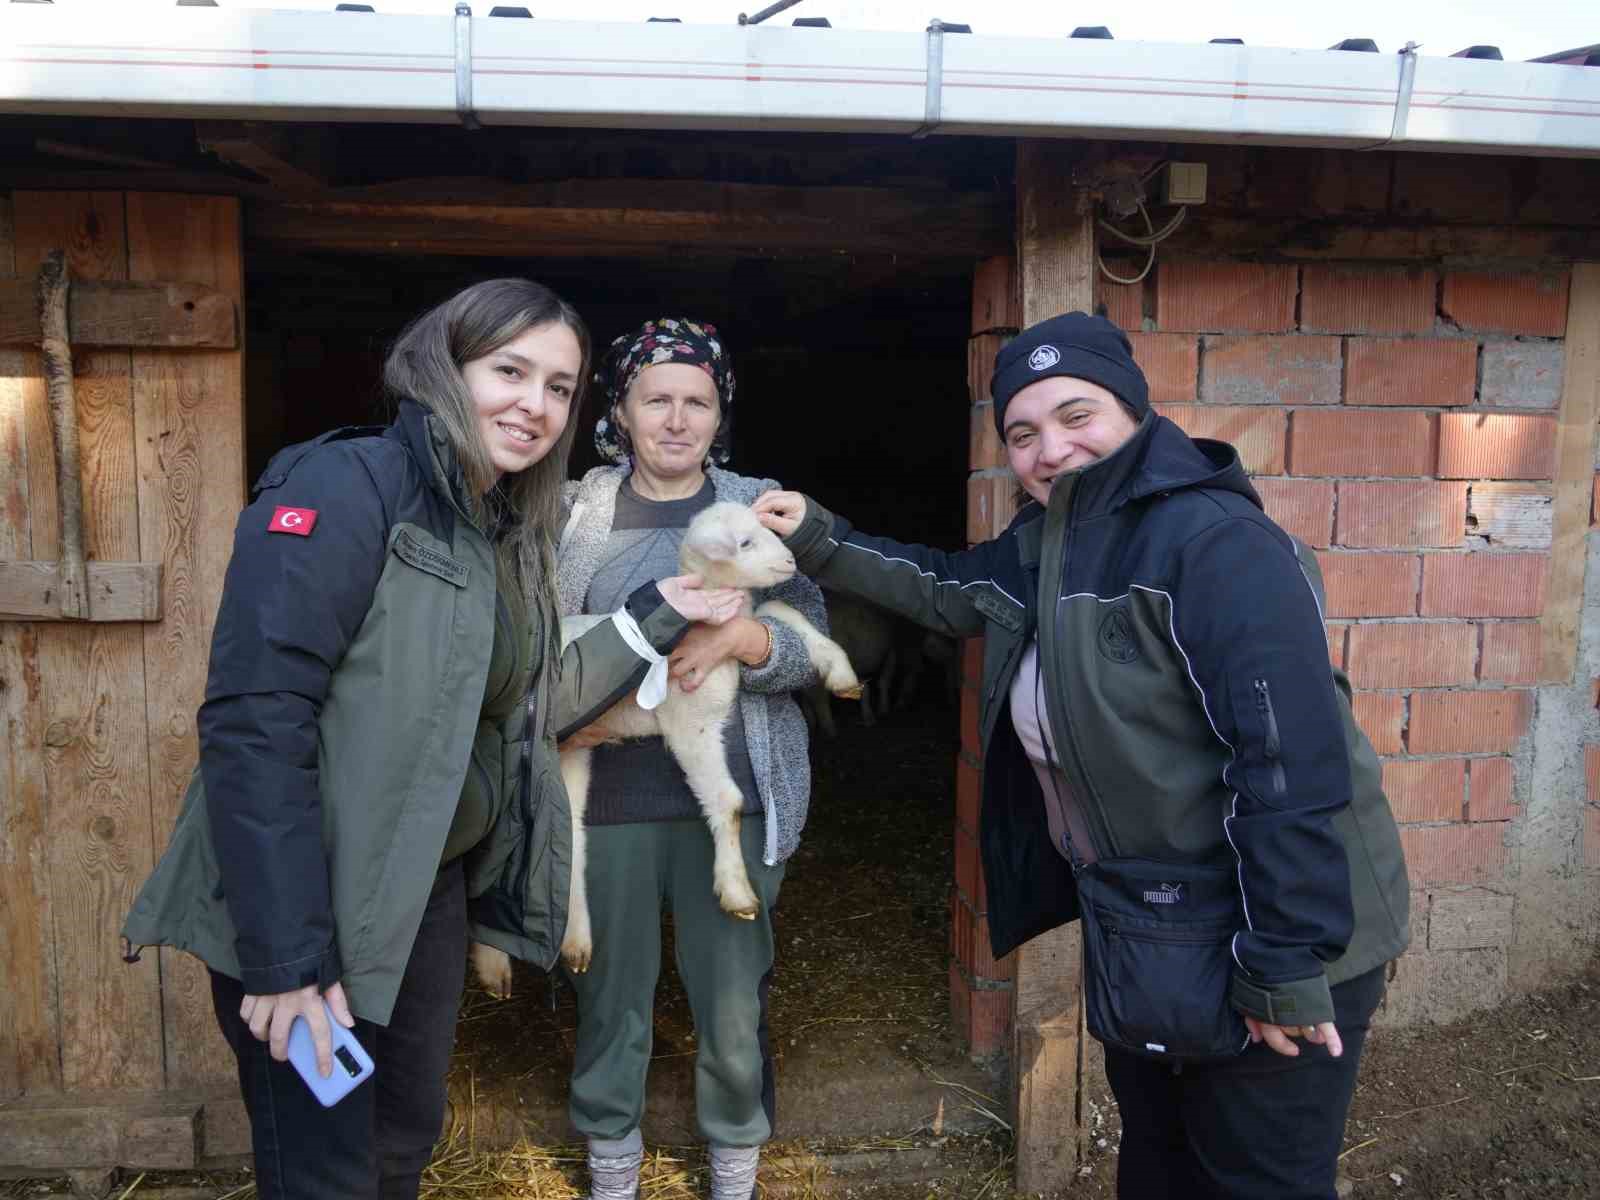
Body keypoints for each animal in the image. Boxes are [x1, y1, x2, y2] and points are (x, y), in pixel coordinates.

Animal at [467, 499, 857, 998]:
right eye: (744, 542)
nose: (791, 562)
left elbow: (778, 607)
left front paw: (841, 673)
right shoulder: (690, 723)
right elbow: (728, 802)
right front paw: (736, 890)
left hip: (568, 756)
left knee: (570, 836)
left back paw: (576, 943)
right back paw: (494, 966)